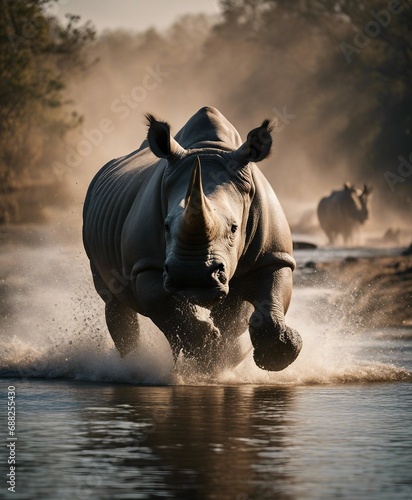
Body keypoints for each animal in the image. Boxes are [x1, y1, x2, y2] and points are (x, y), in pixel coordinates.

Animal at [83, 106, 302, 372]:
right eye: (166, 226)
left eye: (234, 228)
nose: (191, 277)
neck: (209, 148)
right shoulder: (146, 265)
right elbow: (166, 308)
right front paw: (206, 352)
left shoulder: (274, 257)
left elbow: (272, 298)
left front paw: (272, 354)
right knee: (113, 299)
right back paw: (132, 364)